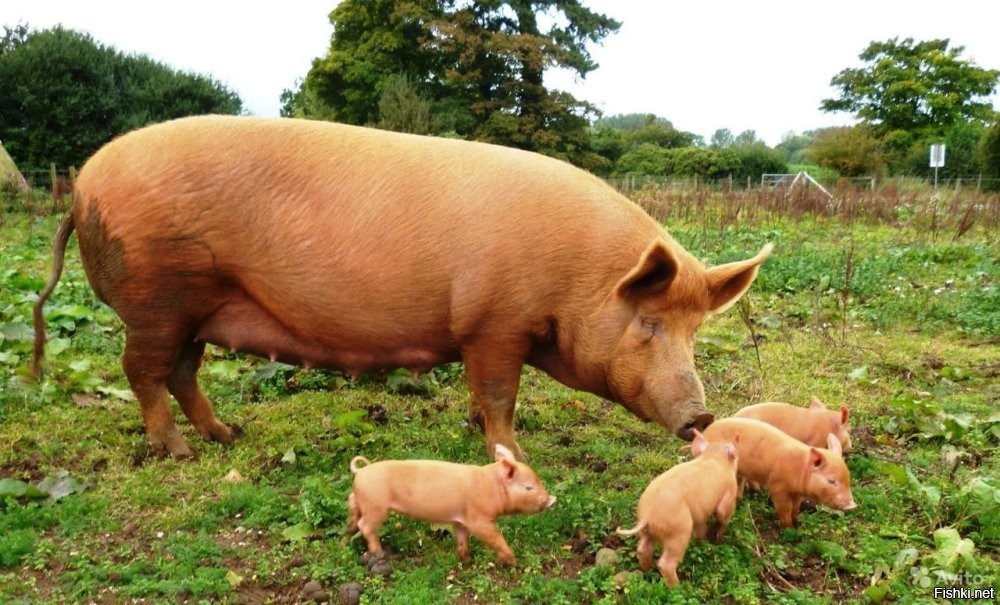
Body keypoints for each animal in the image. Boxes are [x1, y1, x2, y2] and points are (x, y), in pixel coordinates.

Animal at [27, 115, 768, 458]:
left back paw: (228, 435)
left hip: (197, 307)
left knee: (181, 373)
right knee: (143, 372)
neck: (577, 277)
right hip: (158, 296)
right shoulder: (494, 324)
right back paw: (176, 450)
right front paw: (511, 453)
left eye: (696, 330)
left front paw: (474, 430)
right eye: (649, 323)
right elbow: (499, 393)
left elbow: (480, 394)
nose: (701, 416)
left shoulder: (486, 335)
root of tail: (82, 185)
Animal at [346, 444, 556, 568]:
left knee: (353, 515)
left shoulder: (460, 520)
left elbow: (462, 539)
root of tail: (361, 471)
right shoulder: (479, 519)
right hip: (376, 505)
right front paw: (513, 562)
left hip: (361, 501)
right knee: (366, 526)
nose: (551, 499)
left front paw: (467, 561)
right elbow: (495, 537)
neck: (491, 487)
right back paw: (378, 552)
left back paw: (345, 538)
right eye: (528, 487)